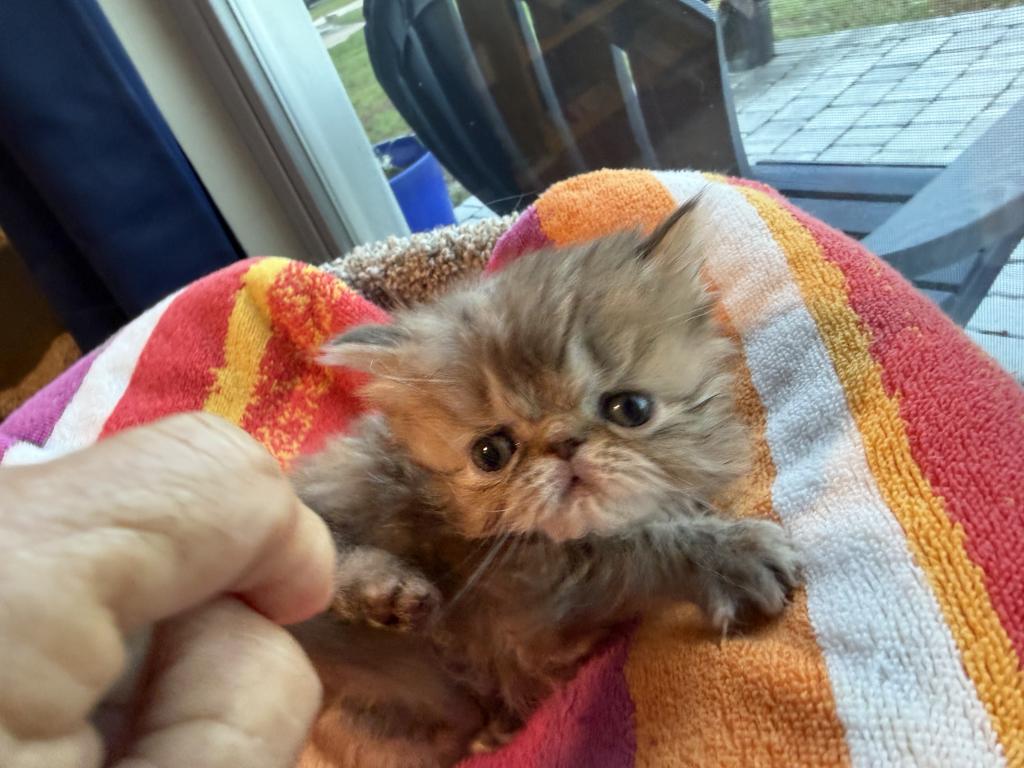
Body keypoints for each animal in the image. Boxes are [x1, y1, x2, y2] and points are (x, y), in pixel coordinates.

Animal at [289, 196, 803, 768]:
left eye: (631, 409)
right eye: (491, 453)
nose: (563, 442)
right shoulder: (530, 609)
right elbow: (633, 548)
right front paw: (731, 553)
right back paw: (386, 594)